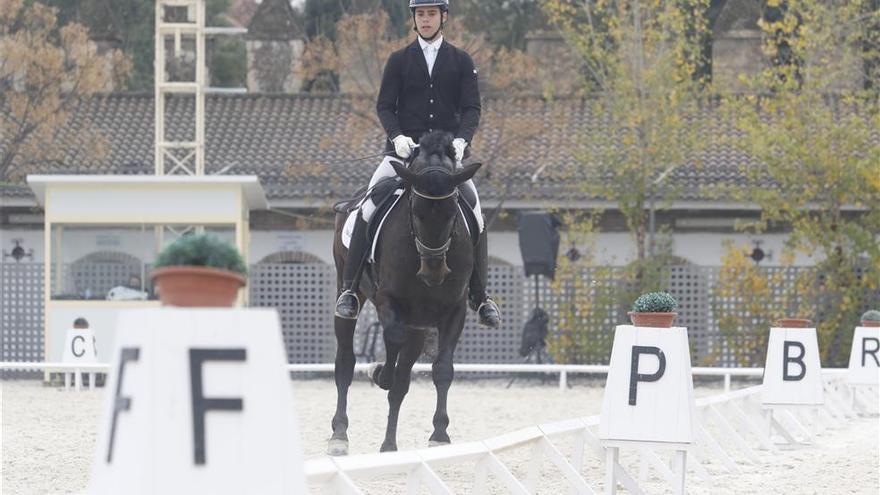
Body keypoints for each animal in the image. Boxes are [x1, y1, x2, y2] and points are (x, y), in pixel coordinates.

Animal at [328, 132, 482, 458]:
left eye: (453, 211)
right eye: (414, 210)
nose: (434, 271)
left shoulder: (454, 310)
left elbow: (442, 369)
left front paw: (439, 434)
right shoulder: (390, 302)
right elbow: (393, 351)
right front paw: (379, 374)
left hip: (419, 324)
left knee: (403, 375)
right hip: (349, 293)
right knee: (345, 361)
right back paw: (339, 434)